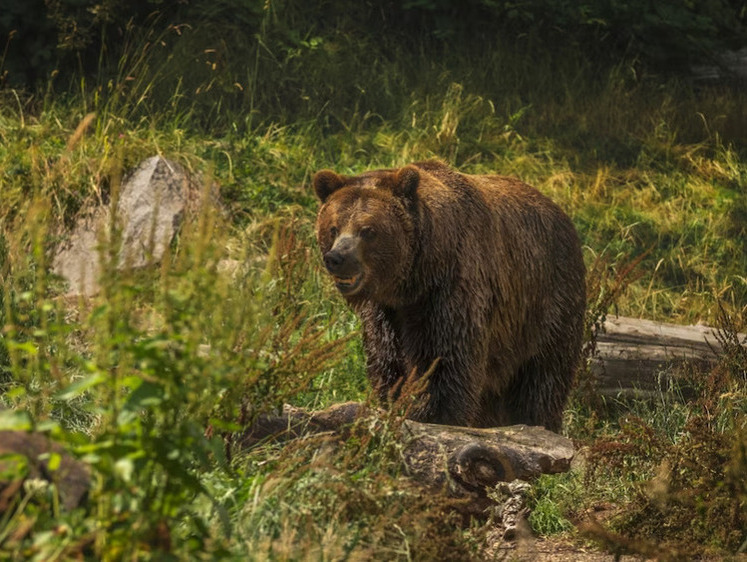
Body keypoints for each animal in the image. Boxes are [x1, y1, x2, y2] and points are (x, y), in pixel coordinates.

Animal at [312, 160, 588, 430]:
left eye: (368, 230)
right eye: (333, 228)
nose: (337, 258)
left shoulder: (450, 291)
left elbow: (444, 359)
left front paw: (429, 413)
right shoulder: (386, 311)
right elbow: (387, 358)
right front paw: (394, 400)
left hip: (546, 303)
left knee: (543, 377)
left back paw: (537, 421)